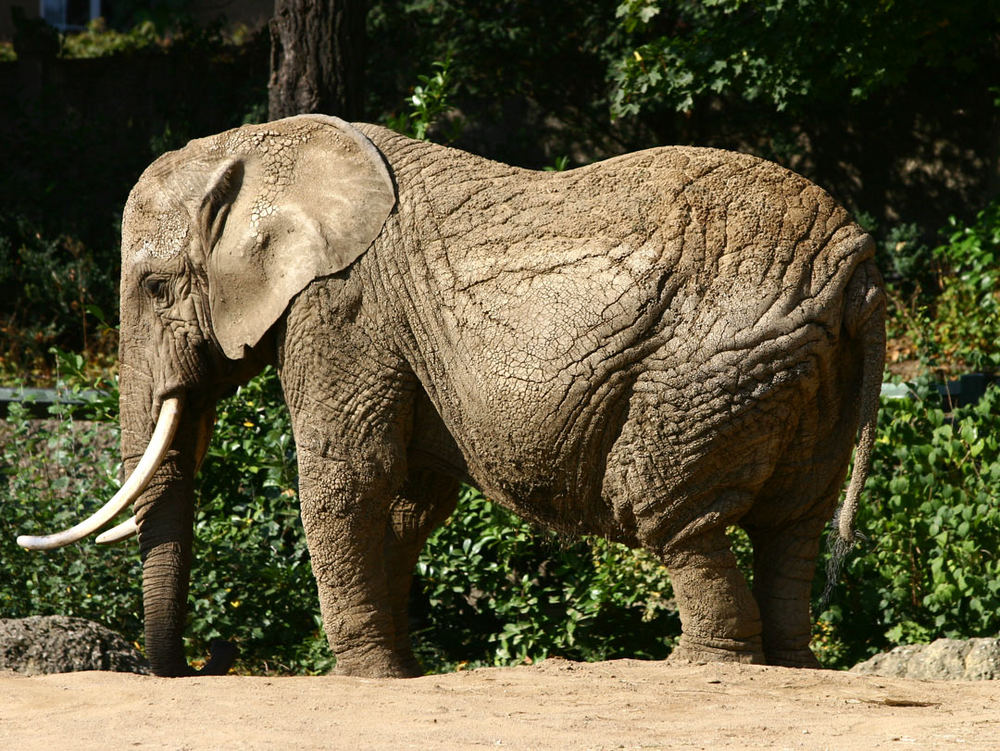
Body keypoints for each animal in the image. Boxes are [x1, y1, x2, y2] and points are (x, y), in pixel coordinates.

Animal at [17, 114, 884, 680]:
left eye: (156, 287)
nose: (206, 661)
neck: (261, 147)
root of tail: (860, 271)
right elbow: (413, 497)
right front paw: (398, 668)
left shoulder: (341, 306)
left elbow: (349, 476)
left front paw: (363, 678)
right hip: (800, 364)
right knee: (794, 524)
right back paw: (791, 662)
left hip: (714, 365)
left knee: (671, 510)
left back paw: (702, 665)